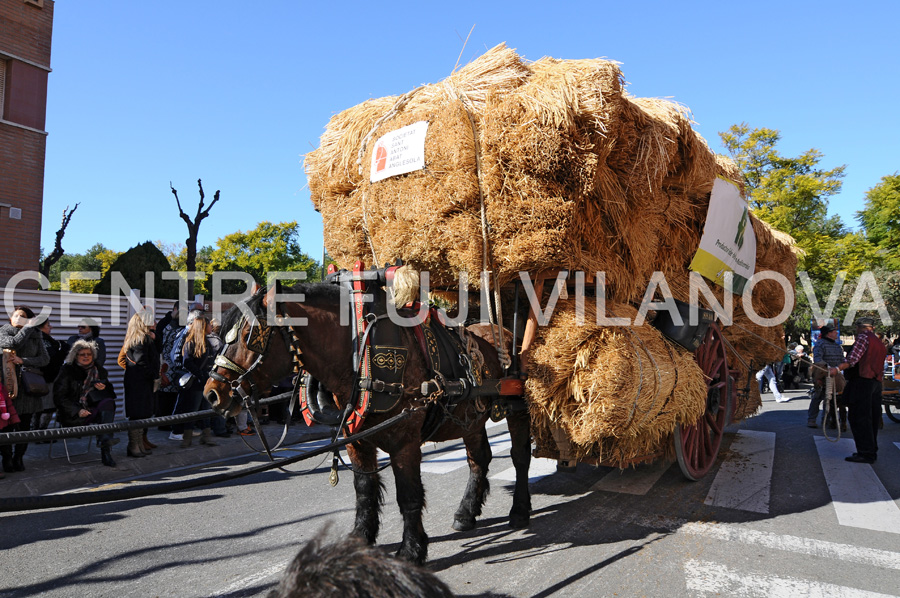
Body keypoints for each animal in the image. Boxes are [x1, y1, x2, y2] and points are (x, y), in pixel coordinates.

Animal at [204, 276, 528, 568]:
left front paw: (411, 550)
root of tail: (500, 332)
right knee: (478, 459)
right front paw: (360, 538)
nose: (212, 393)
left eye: (250, 335)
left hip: (517, 408)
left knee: (519, 457)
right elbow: (364, 490)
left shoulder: (404, 442)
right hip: (469, 420)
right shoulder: (357, 441)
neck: (361, 354)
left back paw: (520, 510)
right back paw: (466, 513)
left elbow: (408, 495)